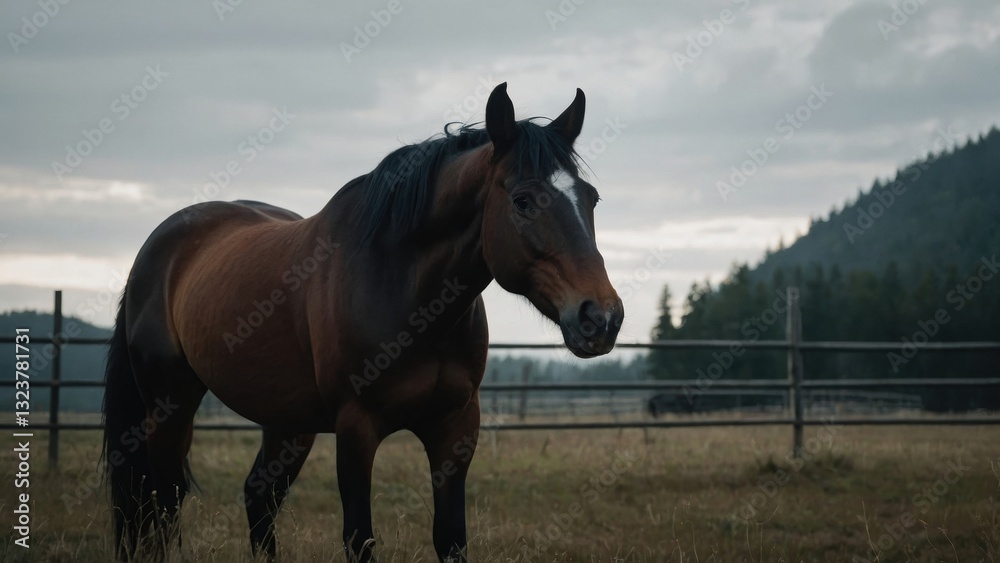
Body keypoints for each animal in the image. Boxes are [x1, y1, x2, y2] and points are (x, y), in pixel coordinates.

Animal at [102, 82, 624, 562]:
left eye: (592, 198)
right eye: (522, 200)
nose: (601, 316)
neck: (407, 290)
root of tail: (161, 245)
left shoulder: (456, 427)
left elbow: (451, 539)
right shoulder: (357, 429)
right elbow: (360, 539)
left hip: (287, 422)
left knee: (257, 497)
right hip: (170, 405)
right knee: (162, 504)